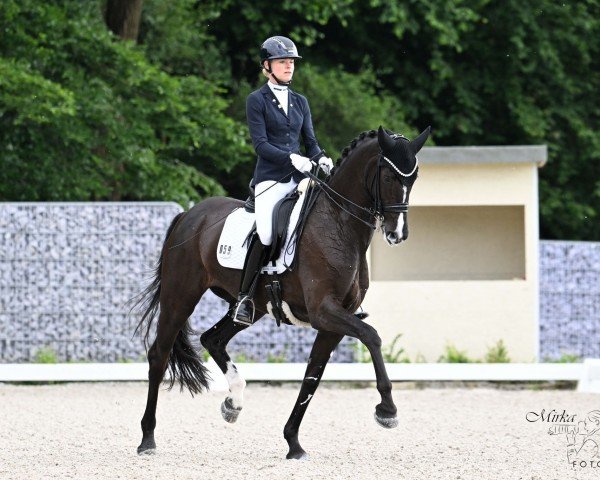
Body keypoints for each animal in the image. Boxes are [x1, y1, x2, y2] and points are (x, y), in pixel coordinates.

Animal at [134, 125, 428, 460]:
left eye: (413, 178)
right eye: (390, 177)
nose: (397, 234)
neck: (339, 225)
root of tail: (189, 215)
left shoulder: (334, 321)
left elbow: (313, 376)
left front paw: (293, 443)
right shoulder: (324, 311)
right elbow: (372, 336)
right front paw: (387, 410)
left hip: (251, 307)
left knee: (213, 339)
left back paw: (233, 403)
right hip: (179, 296)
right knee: (159, 355)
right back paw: (147, 439)